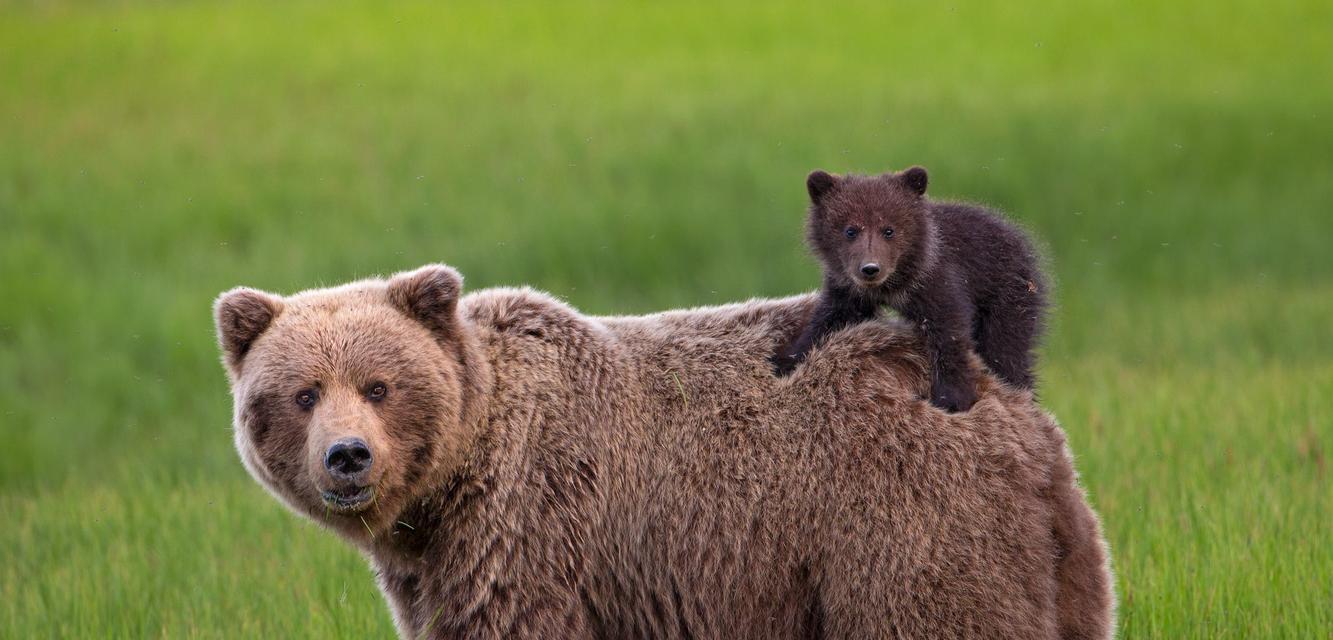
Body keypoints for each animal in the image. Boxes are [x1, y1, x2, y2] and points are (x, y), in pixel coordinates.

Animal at [215, 262, 1114, 637]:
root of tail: (1009, 404)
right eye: (302, 394)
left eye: (378, 385)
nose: (347, 458)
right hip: (1059, 546)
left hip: (897, 518)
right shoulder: (437, 565)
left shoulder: (529, 529)